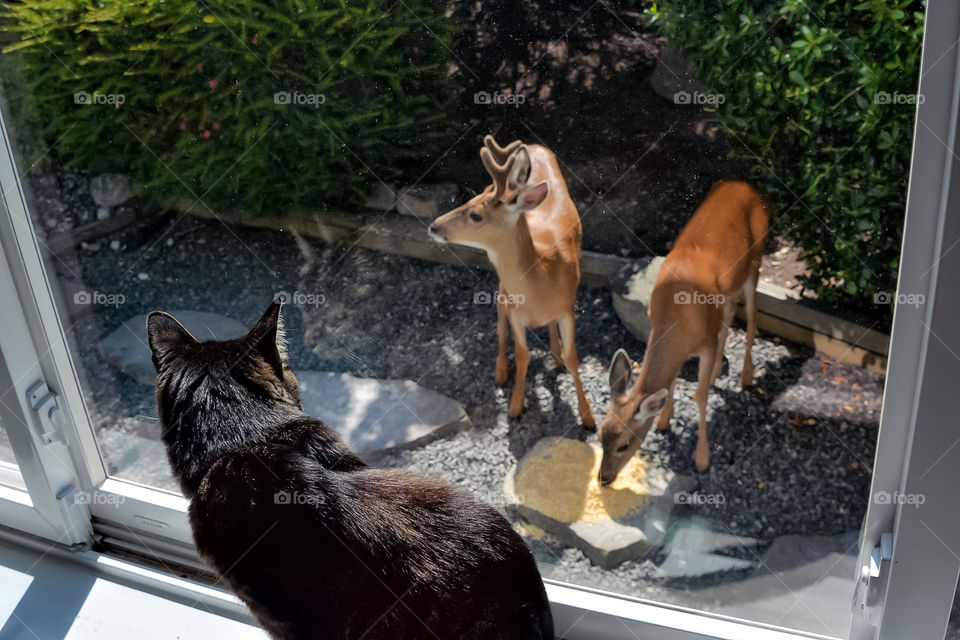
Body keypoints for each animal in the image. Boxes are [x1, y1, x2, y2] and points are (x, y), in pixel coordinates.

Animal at [429, 135, 595, 429]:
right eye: (469, 200)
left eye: (476, 215)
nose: (434, 225)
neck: (544, 277)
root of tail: (533, 146)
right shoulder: (516, 310)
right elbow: (521, 353)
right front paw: (516, 407)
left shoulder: (568, 308)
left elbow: (573, 357)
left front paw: (588, 417)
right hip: (502, 291)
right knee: (499, 322)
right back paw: (500, 372)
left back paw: (554, 355)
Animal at [598, 180, 768, 483]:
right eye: (599, 435)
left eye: (624, 445)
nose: (603, 478)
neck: (675, 318)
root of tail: (744, 185)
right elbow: (670, 382)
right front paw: (664, 420)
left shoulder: (706, 343)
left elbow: (700, 396)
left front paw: (702, 458)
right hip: (728, 292)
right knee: (728, 320)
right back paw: (718, 373)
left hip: (756, 262)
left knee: (750, 321)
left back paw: (746, 376)